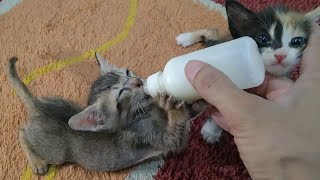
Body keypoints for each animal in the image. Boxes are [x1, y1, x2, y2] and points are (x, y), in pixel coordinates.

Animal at [8, 56, 191, 174]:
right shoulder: (160, 140)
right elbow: (177, 134)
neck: (145, 112)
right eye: (121, 93)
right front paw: (169, 105)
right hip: (55, 152)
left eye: (128, 72)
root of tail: (40, 107)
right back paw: (37, 162)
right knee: (22, 131)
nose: (139, 81)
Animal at [175, 0, 320, 143]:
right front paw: (211, 130)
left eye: (297, 41)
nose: (281, 55)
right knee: (212, 31)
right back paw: (186, 38)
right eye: (263, 38)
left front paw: (212, 128)